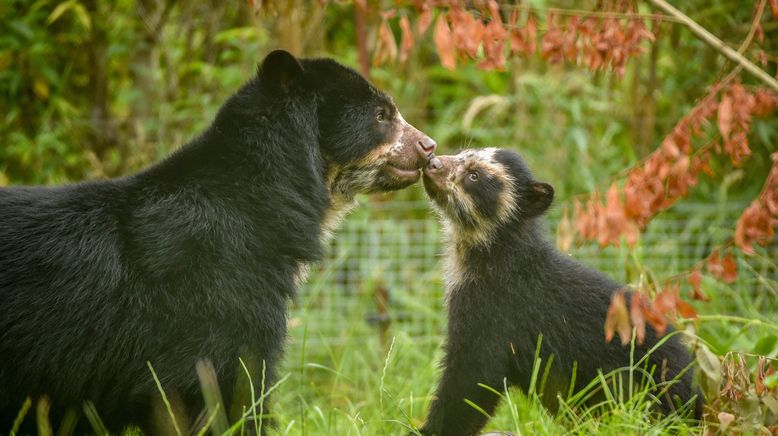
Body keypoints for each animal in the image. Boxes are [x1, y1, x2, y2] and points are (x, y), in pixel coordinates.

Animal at [418, 148, 696, 434]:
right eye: (460, 153)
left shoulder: (494, 309)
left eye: (474, 176)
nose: (432, 162)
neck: (491, 254)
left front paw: (428, 429)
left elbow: (474, 379)